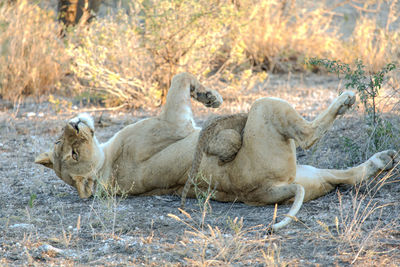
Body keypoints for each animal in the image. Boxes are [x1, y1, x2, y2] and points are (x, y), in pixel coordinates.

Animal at [36, 72, 398, 231]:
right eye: (72, 154)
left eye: (63, 145)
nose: (73, 124)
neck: (105, 163)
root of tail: (264, 190)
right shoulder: (174, 122)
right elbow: (178, 75)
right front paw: (212, 98)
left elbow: (180, 75)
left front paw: (209, 95)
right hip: (265, 107)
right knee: (309, 136)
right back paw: (346, 100)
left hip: (312, 178)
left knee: (349, 176)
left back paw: (385, 158)